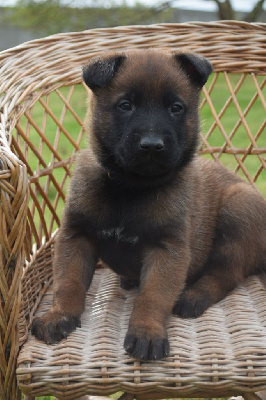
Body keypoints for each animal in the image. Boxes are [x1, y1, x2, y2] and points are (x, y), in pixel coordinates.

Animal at [31, 48, 266, 360]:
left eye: (176, 108)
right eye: (126, 105)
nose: (152, 145)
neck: (129, 188)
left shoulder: (167, 250)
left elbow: (152, 296)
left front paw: (147, 331)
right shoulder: (77, 237)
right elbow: (68, 283)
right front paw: (58, 316)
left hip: (238, 207)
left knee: (226, 273)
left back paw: (193, 296)